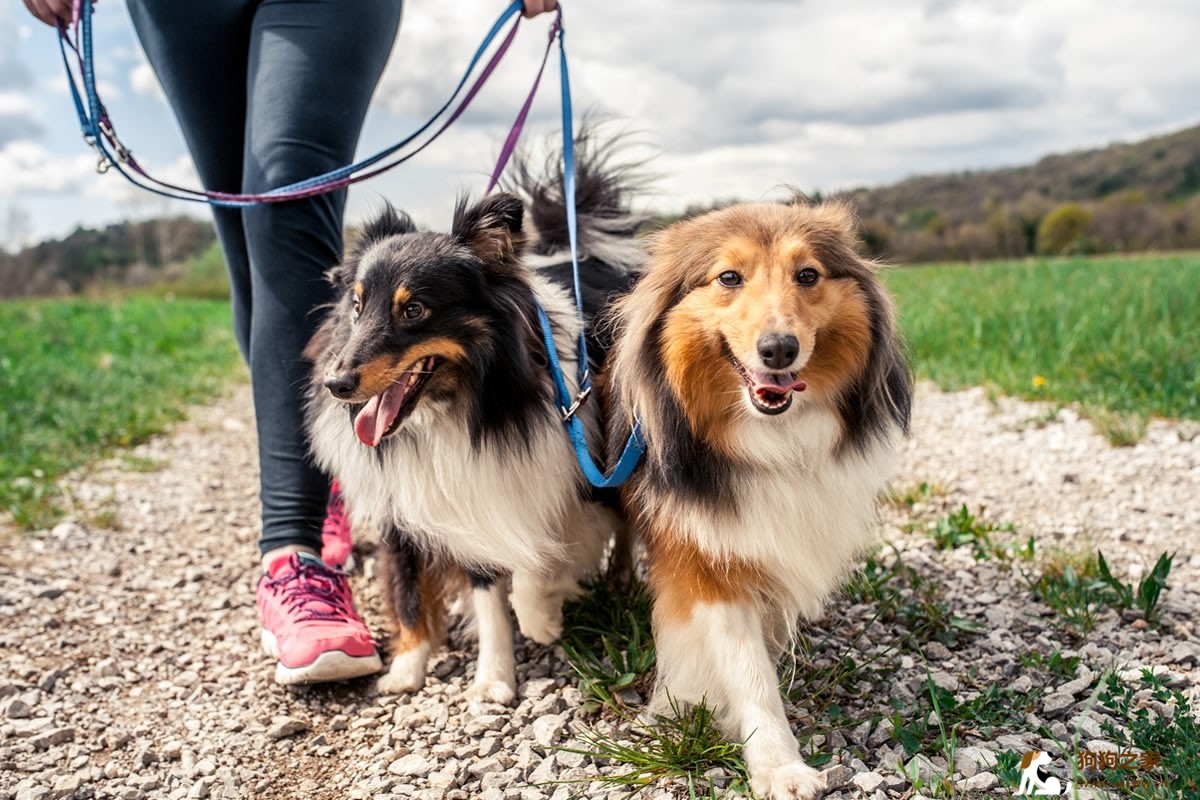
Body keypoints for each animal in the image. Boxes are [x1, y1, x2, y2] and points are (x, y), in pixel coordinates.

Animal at [304, 140, 643, 705]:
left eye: (414, 310)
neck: (458, 408)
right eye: (355, 306)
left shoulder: (552, 474)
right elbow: (460, 594)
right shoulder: (443, 500)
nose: (336, 384)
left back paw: (618, 584)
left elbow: (536, 559)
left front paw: (543, 620)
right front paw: (478, 675)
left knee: (626, 526)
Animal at [604, 196, 912, 796]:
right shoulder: (705, 559)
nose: (779, 349)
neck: (768, 439)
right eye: (729, 277)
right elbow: (748, 671)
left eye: (808, 275)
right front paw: (778, 764)